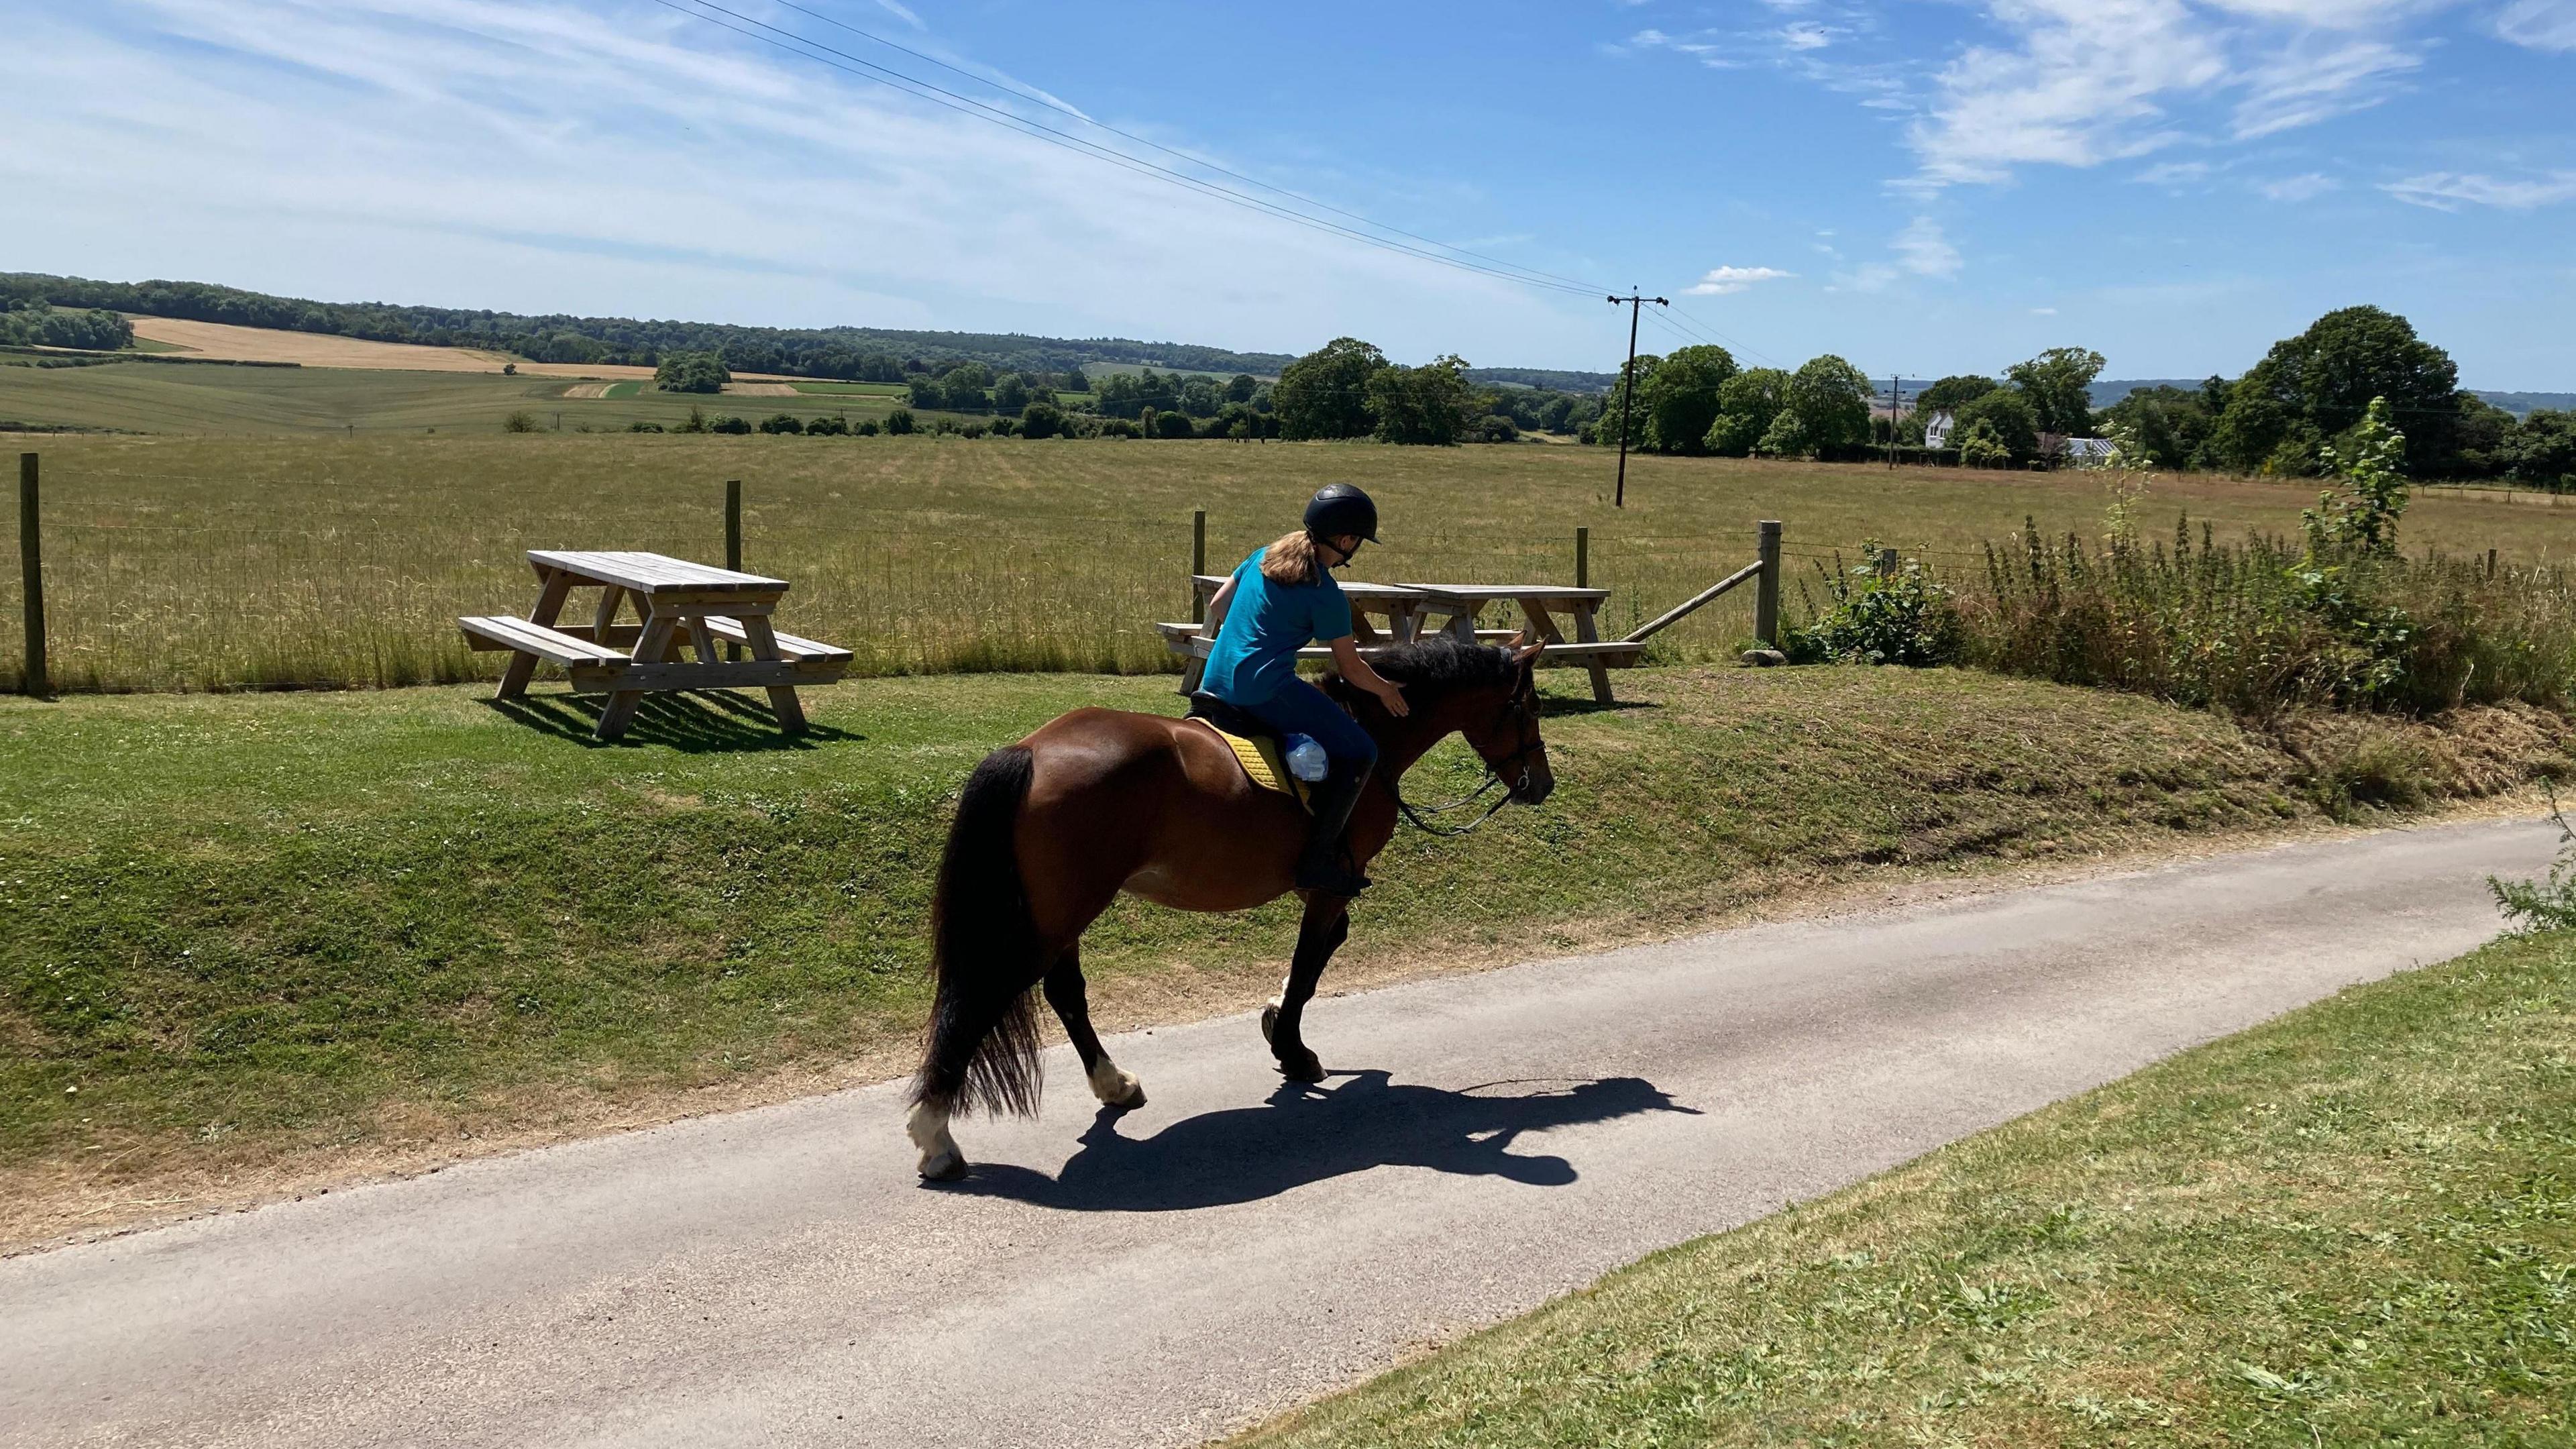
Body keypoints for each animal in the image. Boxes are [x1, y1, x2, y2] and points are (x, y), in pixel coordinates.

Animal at [906, 631, 1546, 1175]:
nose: (1543, 785)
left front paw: (1276, 1019)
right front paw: (1292, 1049)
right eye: (1530, 707)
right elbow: (1308, 963)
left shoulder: (1329, 886)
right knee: (983, 999)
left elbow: (1322, 953)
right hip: (1053, 920)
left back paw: (1112, 1084)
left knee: (1064, 994)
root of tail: (1031, 750)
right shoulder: (1330, 884)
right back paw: (935, 1134)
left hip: (1061, 915)